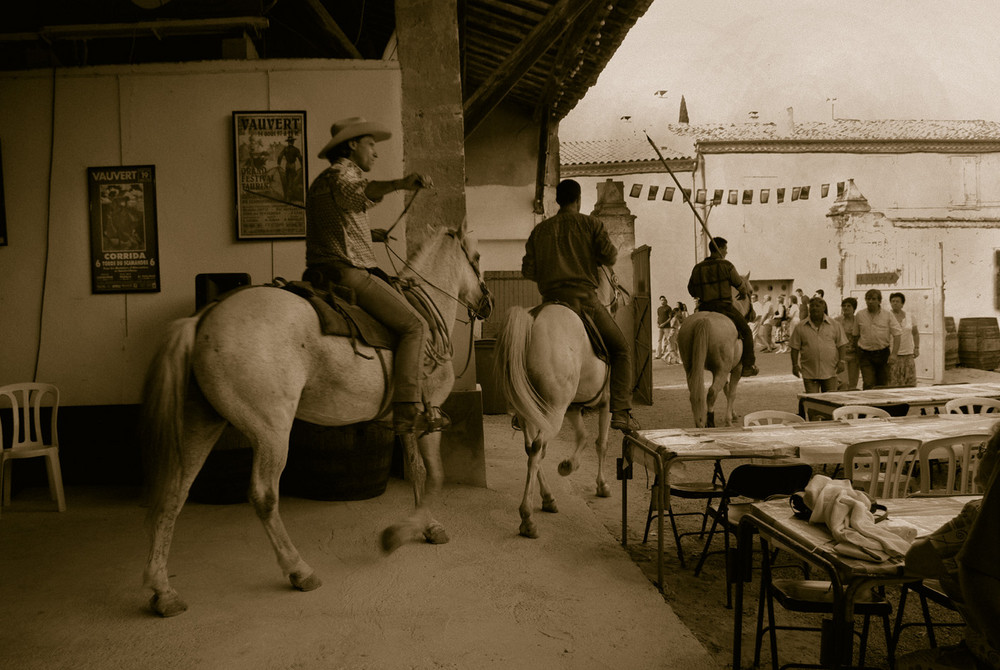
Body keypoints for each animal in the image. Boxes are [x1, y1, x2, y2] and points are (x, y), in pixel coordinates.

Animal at [141, 222, 492, 620]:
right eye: (477, 256)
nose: (487, 303)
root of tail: (202, 320)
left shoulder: (407, 419)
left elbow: (417, 471)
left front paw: (418, 525)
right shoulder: (430, 412)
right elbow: (435, 474)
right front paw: (413, 530)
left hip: (200, 422)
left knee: (174, 492)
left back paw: (163, 591)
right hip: (271, 431)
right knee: (263, 495)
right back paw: (299, 570)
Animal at [680, 276, 752, 428]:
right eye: (751, 291)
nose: (753, 315)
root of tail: (704, 320)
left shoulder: (718, 371)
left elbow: (726, 389)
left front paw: (733, 414)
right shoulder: (736, 368)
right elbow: (731, 392)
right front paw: (729, 419)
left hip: (692, 368)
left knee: (695, 392)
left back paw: (700, 423)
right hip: (723, 369)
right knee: (712, 392)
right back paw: (711, 421)